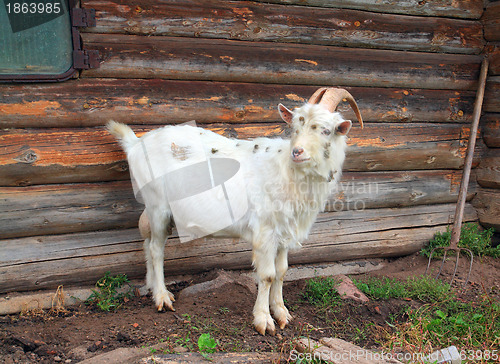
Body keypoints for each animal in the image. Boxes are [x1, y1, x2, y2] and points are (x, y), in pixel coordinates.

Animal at [107, 87, 364, 336]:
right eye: (294, 128)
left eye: (326, 130)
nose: (297, 152)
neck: (286, 171)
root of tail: (134, 144)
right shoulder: (265, 231)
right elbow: (268, 275)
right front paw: (264, 321)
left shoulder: (284, 232)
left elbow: (282, 271)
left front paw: (282, 313)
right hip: (158, 205)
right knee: (156, 249)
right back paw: (162, 297)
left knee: (147, 241)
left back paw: (152, 288)